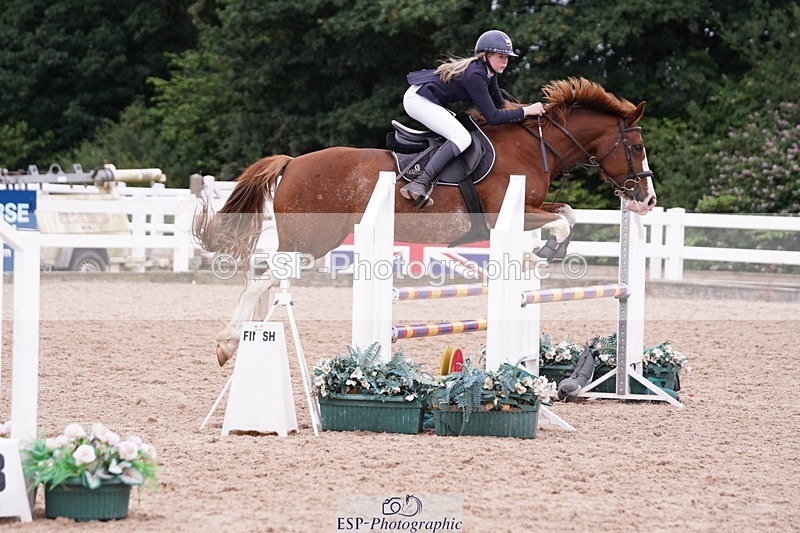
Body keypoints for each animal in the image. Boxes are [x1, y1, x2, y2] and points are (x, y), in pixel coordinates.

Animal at [194, 77, 657, 366]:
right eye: (636, 145)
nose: (647, 199)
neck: (533, 148)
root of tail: (292, 163)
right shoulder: (507, 213)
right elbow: (561, 220)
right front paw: (547, 249)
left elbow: (567, 214)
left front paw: (542, 253)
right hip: (311, 242)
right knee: (261, 280)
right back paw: (227, 344)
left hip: (305, 243)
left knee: (264, 276)